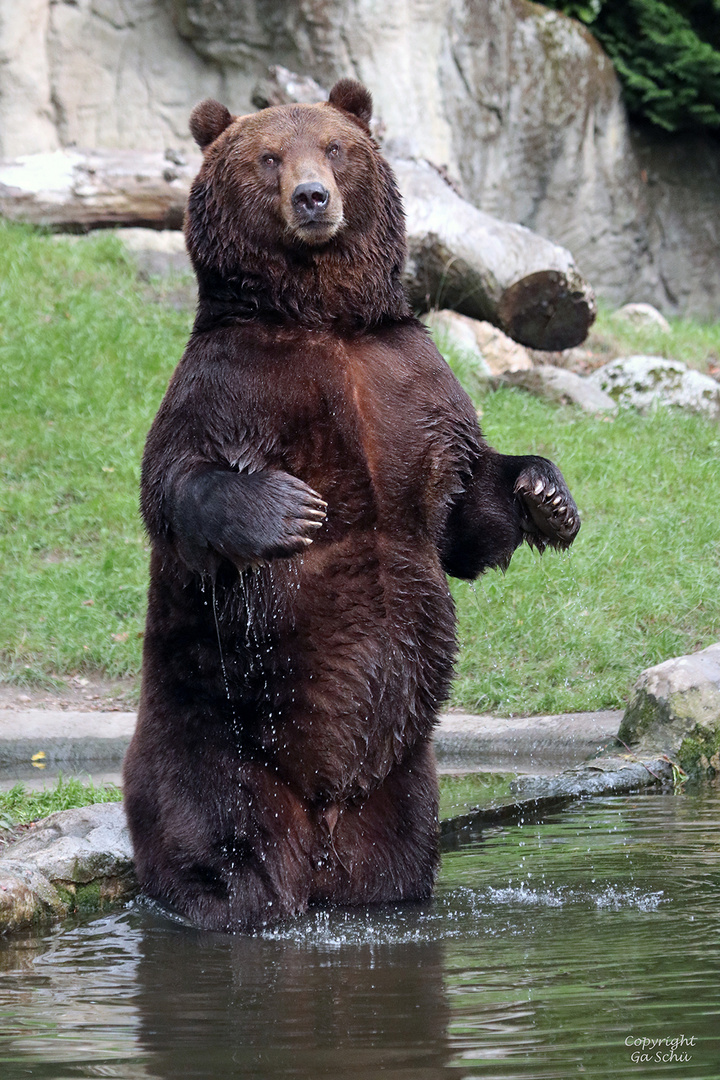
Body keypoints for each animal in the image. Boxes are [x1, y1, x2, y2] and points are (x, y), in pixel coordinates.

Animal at [122, 79, 578, 933]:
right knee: (225, 853)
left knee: (397, 864)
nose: (313, 198)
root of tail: (327, 817)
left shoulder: (410, 382)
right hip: (223, 742)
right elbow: (177, 481)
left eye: (334, 149)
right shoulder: (233, 383)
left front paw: (546, 498)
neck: (323, 316)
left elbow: (462, 510)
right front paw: (291, 512)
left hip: (404, 780)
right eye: (269, 156)